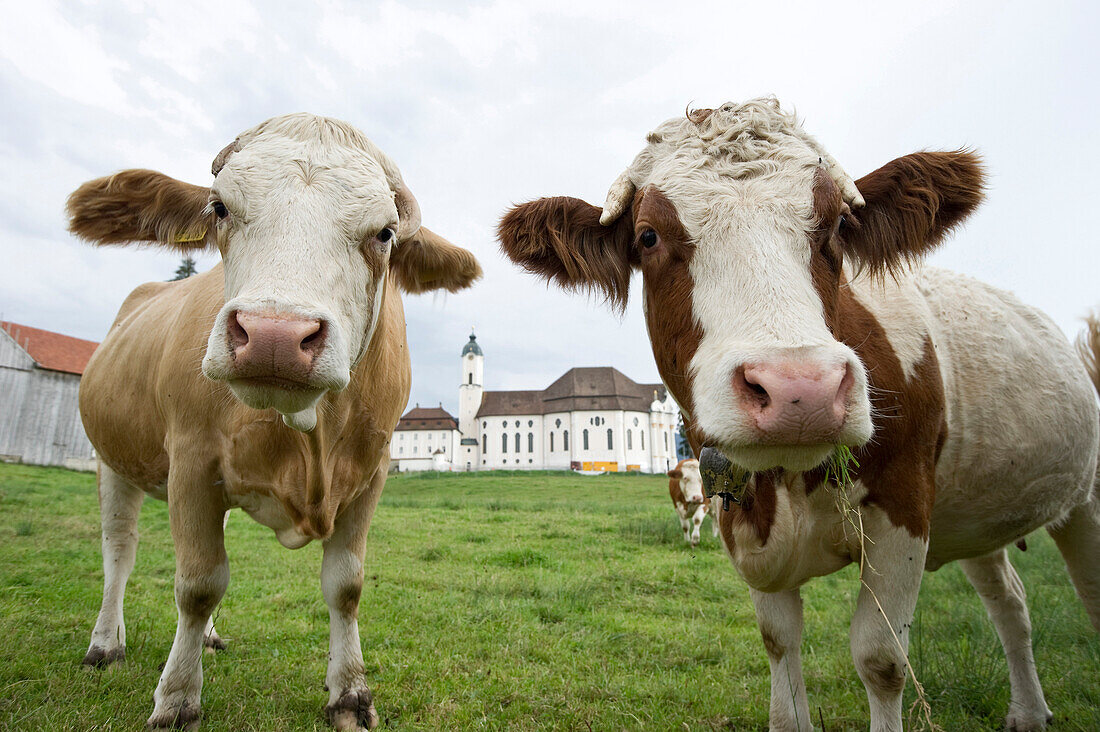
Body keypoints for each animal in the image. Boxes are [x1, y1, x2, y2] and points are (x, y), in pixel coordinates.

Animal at [67, 114, 481, 730]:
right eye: (218, 208)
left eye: (385, 233)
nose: (274, 336)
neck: (309, 438)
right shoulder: (191, 463)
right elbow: (197, 584)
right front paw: (177, 699)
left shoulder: (371, 474)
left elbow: (346, 586)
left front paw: (349, 694)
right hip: (112, 458)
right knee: (119, 549)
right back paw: (105, 644)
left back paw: (206, 638)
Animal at [501, 98, 1100, 730]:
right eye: (647, 235)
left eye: (837, 225)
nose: (800, 390)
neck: (786, 483)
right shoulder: (744, 523)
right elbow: (779, 645)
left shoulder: (905, 508)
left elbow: (881, 658)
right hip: (978, 523)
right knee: (1009, 601)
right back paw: (1029, 711)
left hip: (1082, 502)